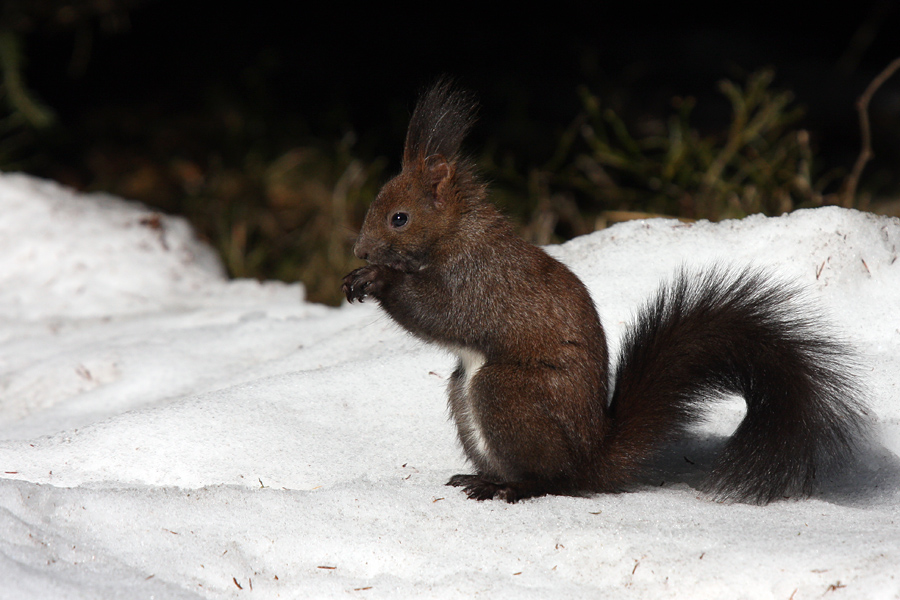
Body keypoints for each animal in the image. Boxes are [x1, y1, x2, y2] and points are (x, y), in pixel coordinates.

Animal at [342, 78, 868, 502]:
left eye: (399, 218)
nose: (360, 251)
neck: (456, 235)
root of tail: (592, 459)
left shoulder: (483, 281)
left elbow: (447, 314)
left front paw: (380, 280)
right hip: (465, 392)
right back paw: (481, 478)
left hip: (505, 392)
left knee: (551, 480)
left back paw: (510, 487)